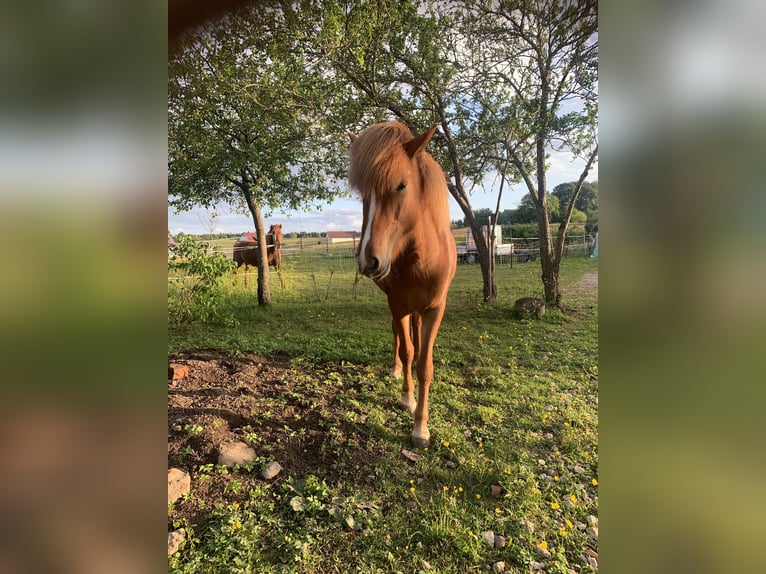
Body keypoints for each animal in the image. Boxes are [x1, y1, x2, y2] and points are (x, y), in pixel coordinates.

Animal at [349, 121, 457, 448]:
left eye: (400, 185)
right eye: (363, 194)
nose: (368, 260)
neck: (421, 260)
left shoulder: (435, 309)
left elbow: (424, 364)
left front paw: (421, 427)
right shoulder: (397, 305)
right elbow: (408, 352)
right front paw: (408, 400)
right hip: (399, 308)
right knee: (399, 337)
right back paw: (396, 369)